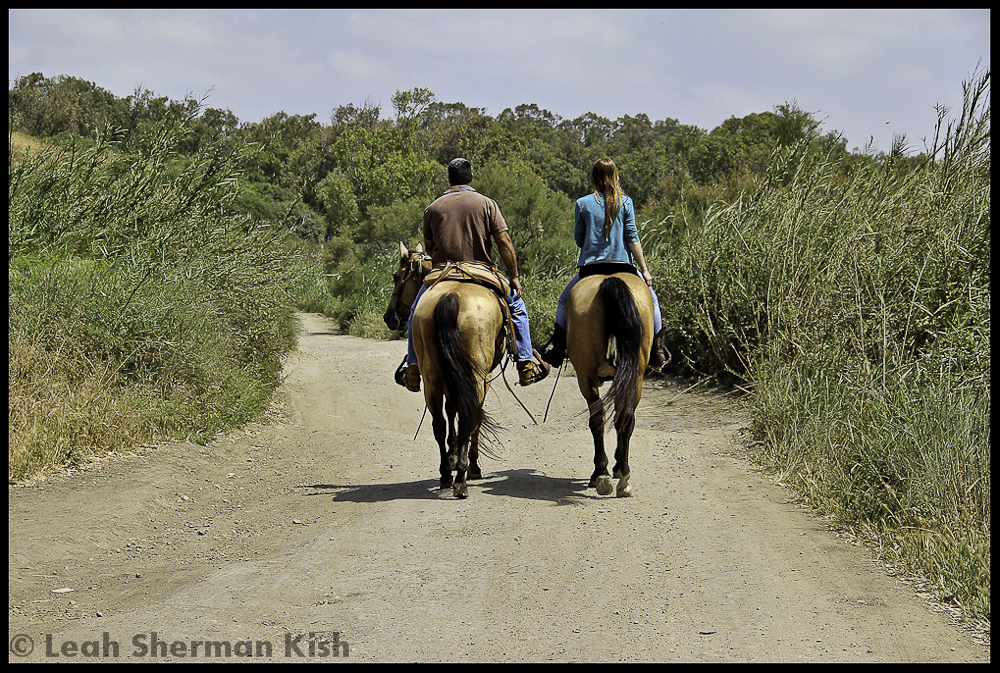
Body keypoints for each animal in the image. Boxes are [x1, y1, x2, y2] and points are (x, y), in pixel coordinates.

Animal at [382, 244, 508, 496]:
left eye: (396, 277)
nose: (388, 317)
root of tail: (451, 297)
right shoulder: (484, 378)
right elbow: (470, 416)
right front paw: (468, 463)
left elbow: (451, 412)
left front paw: (452, 454)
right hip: (474, 378)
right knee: (469, 417)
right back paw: (461, 477)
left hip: (432, 379)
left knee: (439, 423)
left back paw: (446, 475)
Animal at [564, 266, 656, 496]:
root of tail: (610, 280)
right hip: (635, 375)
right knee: (625, 419)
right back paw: (622, 476)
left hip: (586, 376)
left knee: (599, 419)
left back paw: (601, 474)